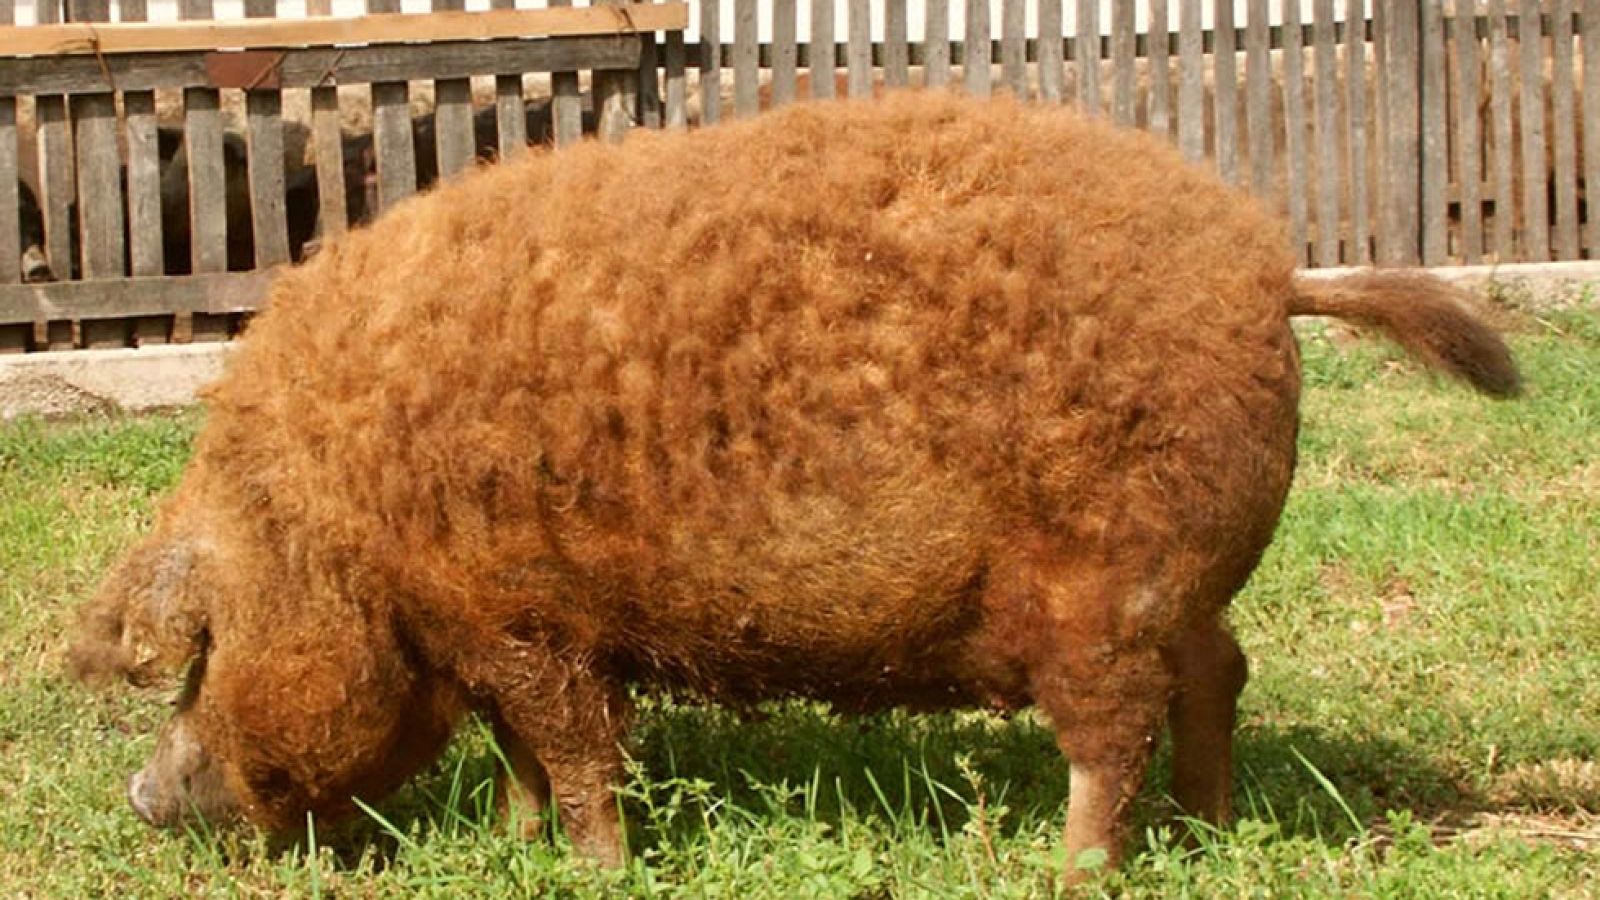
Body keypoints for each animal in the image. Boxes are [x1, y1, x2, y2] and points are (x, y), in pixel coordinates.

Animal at [70, 91, 1519, 881]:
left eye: (200, 656)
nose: (137, 797)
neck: (340, 513)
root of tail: (1269, 267)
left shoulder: (529, 622)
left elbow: (581, 756)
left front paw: (596, 871)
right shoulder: (490, 629)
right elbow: (522, 757)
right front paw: (513, 848)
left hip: (1099, 586)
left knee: (1113, 730)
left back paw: (1071, 872)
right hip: (1169, 579)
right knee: (1219, 673)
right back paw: (1205, 834)